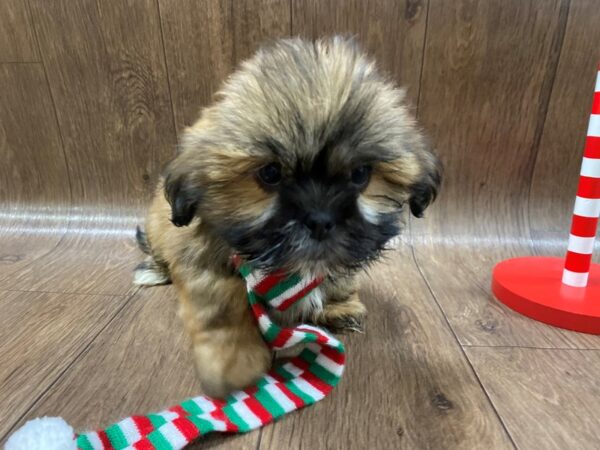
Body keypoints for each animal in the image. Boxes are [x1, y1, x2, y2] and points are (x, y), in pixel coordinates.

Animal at [135, 37, 440, 398]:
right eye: (270, 174)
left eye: (360, 175)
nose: (320, 219)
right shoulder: (200, 260)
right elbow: (222, 303)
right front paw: (233, 361)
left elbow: (337, 276)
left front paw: (339, 305)